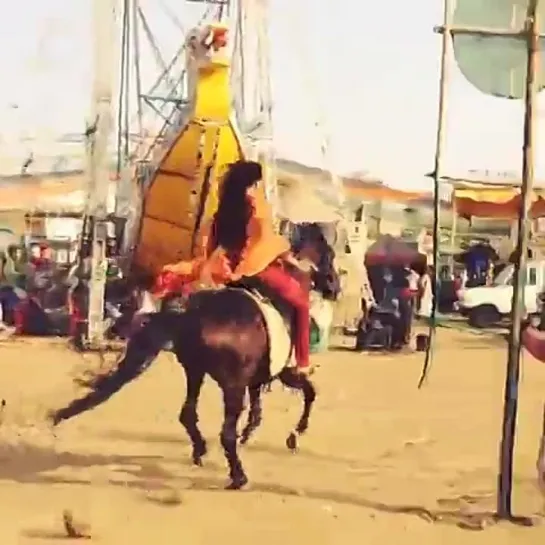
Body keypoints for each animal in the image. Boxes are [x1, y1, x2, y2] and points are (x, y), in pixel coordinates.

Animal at [50, 268, 336, 488]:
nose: (334, 284)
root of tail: (190, 313)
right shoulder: (283, 371)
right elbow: (309, 392)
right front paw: (295, 434)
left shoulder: (258, 376)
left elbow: (259, 406)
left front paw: (252, 431)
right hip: (230, 385)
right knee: (225, 433)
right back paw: (238, 476)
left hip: (195, 371)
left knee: (187, 413)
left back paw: (201, 450)